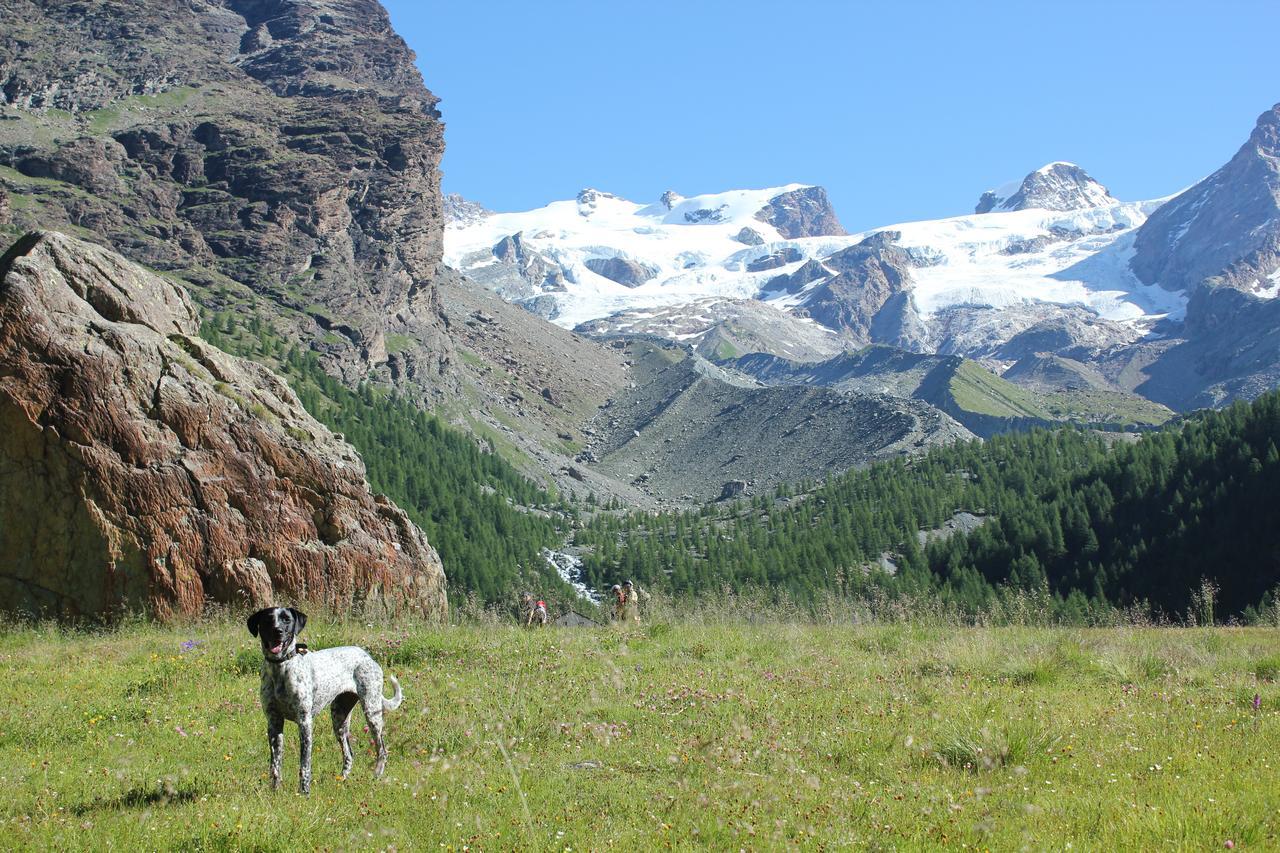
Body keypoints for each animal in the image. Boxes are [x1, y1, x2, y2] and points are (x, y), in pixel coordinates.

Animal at [245, 604, 401, 788]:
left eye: (287, 619)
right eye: (268, 620)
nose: (278, 631)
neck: (281, 668)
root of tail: (366, 655)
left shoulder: (304, 723)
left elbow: (304, 766)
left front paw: (304, 792)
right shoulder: (274, 723)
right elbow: (275, 766)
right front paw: (275, 791)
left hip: (372, 712)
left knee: (381, 749)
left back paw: (376, 775)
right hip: (339, 719)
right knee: (349, 755)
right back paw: (342, 780)